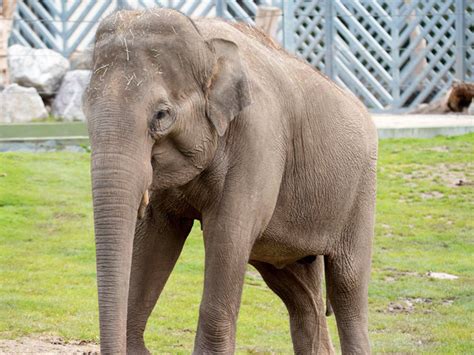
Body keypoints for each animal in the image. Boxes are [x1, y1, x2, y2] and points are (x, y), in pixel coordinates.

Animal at [84, 7, 378, 355]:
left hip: (361, 192)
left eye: (161, 115)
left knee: (348, 287)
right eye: (85, 109)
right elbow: (156, 232)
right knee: (300, 295)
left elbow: (228, 232)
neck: (205, 40)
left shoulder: (258, 139)